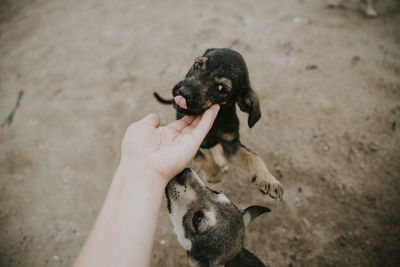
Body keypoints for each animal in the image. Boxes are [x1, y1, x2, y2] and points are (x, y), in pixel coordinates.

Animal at [155, 48, 282, 200]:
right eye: (197, 65)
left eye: (221, 88)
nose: (183, 92)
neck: (216, 121)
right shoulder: (197, 147)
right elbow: (208, 163)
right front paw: (212, 175)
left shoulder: (231, 145)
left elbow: (254, 157)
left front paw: (269, 180)